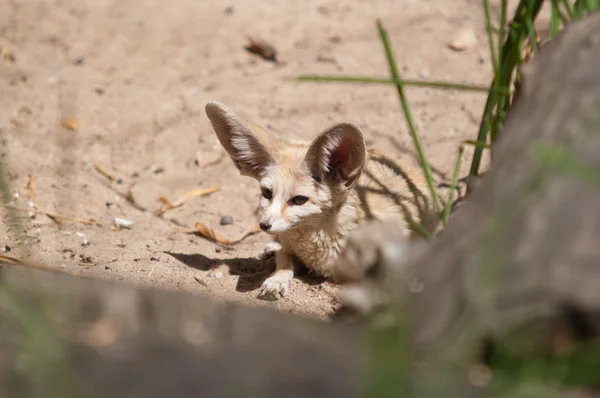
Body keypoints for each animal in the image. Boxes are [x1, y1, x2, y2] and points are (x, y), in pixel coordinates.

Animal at [204, 101, 438, 300]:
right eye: (267, 193)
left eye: (299, 200)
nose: (264, 225)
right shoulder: (290, 249)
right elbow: (284, 262)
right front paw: (276, 280)